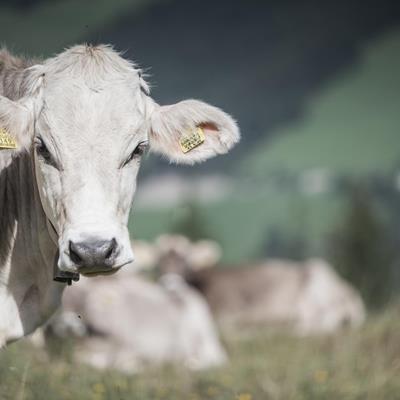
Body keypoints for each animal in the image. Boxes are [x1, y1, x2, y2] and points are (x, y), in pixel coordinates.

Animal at [38, 270, 228, 374]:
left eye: (84, 298)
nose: (68, 325)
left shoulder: (128, 349)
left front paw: (134, 367)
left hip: (206, 341)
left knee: (213, 360)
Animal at [148, 234, 366, 334]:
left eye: (186, 261)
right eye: (158, 263)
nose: (170, 284)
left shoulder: (230, 311)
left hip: (314, 288)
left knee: (316, 325)